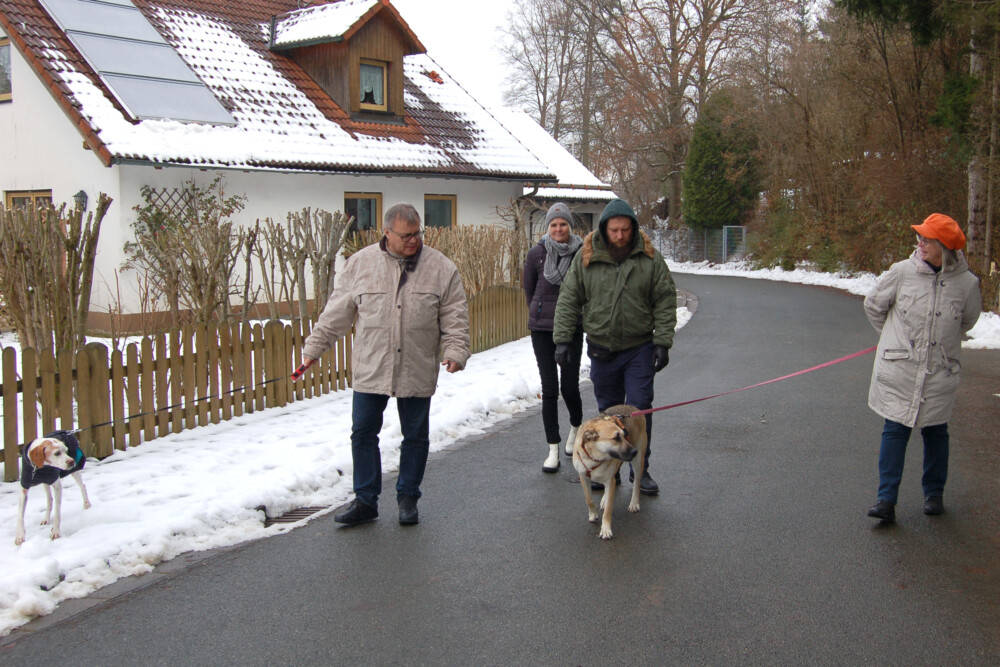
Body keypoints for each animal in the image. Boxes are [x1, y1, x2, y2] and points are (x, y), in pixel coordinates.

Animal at [572, 405, 648, 540]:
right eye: (616, 438)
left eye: (625, 434)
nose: (634, 452)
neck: (594, 456)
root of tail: (633, 408)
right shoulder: (583, 477)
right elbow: (589, 499)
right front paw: (593, 513)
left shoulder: (609, 481)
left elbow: (608, 511)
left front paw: (606, 530)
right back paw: (604, 499)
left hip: (639, 462)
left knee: (636, 483)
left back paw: (634, 503)